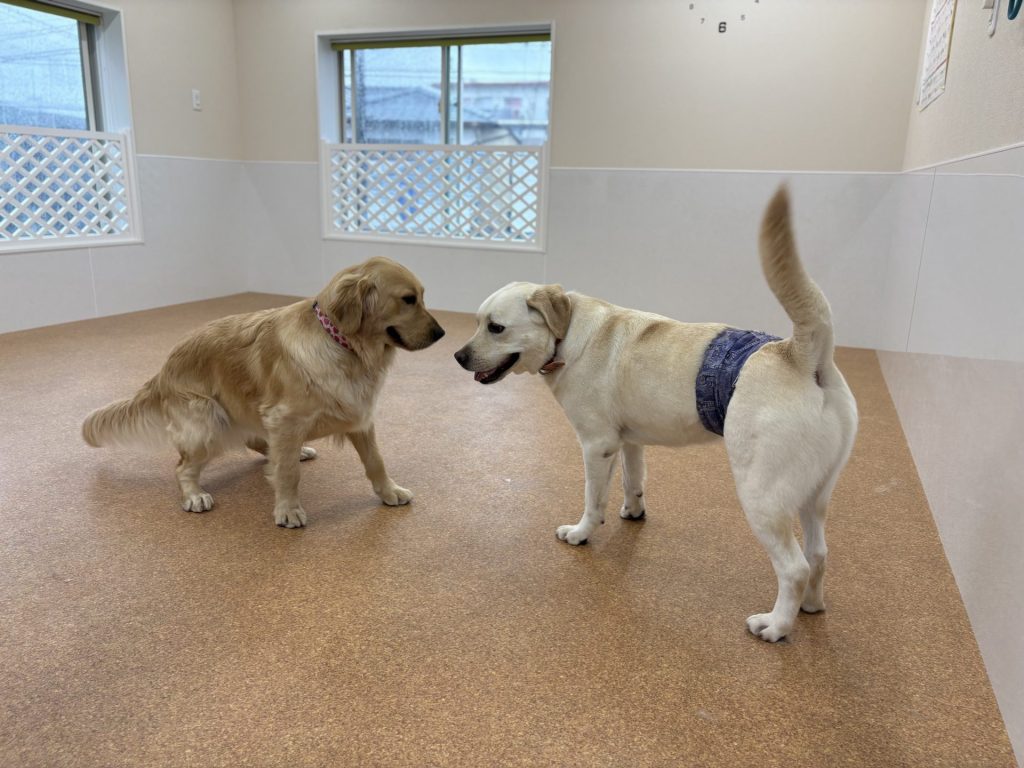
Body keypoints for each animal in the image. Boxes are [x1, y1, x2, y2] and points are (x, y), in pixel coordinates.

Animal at [83, 256, 445, 528]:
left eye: (422, 296)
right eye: (408, 299)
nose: (441, 334)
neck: (344, 346)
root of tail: (163, 370)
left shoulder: (359, 416)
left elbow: (375, 461)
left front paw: (389, 491)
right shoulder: (284, 417)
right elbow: (288, 473)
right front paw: (288, 509)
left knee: (256, 441)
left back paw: (296, 450)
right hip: (208, 419)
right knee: (183, 467)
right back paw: (194, 494)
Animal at [455, 186, 858, 641]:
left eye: (496, 328)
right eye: (477, 322)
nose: (457, 356)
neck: (568, 336)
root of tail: (800, 353)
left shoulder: (597, 447)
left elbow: (593, 500)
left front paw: (581, 533)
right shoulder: (629, 442)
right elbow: (634, 482)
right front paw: (633, 513)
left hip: (762, 496)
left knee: (794, 568)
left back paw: (776, 625)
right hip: (814, 495)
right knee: (819, 554)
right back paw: (811, 606)